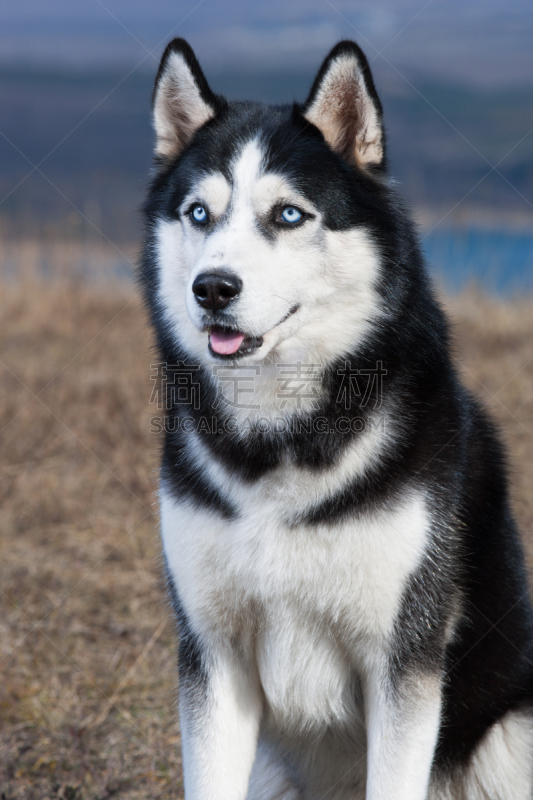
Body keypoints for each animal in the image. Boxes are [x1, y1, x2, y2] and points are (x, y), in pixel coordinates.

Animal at [139, 39, 532, 800]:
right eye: (199, 213)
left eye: (288, 215)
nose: (212, 288)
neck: (282, 439)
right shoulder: (212, 655)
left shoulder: (403, 659)